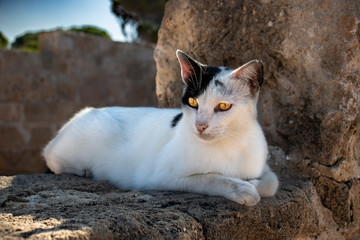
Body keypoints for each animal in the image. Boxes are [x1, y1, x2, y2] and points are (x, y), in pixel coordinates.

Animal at [43, 50, 278, 206]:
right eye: (192, 102)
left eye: (223, 106)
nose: (200, 125)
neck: (231, 143)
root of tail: (87, 111)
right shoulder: (160, 177)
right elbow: (210, 177)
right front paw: (242, 188)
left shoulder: (262, 166)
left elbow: (272, 181)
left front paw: (254, 184)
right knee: (50, 157)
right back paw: (82, 170)